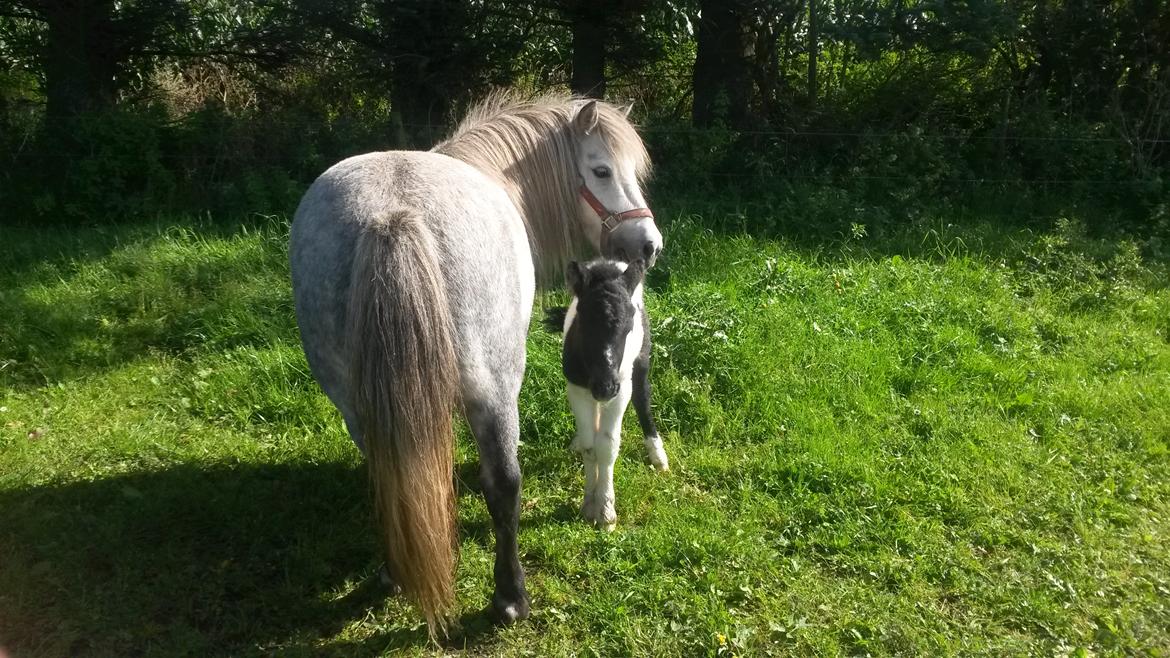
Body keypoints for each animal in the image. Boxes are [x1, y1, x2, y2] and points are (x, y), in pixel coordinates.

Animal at [556, 258, 669, 529]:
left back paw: (658, 454)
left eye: (629, 324)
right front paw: (589, 504)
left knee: (642, 397)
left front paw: (606, 512)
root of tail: (608, 263)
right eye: (583, 319)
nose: (605, 387)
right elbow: (590, 446)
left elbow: (607, 446)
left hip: (640, 360)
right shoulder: (577, 389)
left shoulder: (621, 389)